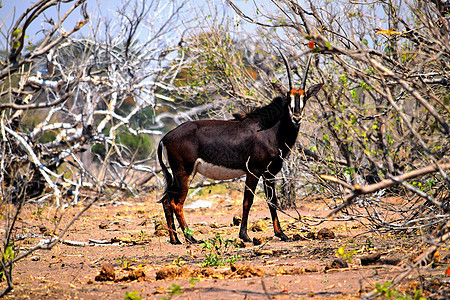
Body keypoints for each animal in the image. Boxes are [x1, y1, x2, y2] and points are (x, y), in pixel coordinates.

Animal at [156, 52, 322, 244]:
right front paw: (245, 235)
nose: (296, 118)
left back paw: (175, 239)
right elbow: (247, 201)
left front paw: (281, 234)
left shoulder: (270, 173)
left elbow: (272, 201)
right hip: (184, 172)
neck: (270, 129)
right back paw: (191, 238)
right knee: (176, 203)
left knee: (166, 201)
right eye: (289, 97)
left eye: (305, 97)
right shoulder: (254, 171)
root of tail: (165, 137)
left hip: (176, 174)